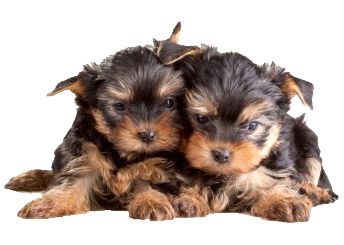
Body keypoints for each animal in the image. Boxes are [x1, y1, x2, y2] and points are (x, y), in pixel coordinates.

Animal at [5, 27, 187, 220]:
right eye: (119, 106)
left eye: (169, 102)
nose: (148, 135)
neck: (123, 153)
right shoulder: (86, 154)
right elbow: (73, 181)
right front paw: (48, 203)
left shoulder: (161, 167)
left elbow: (148, 180)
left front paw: (151, 201)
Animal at [153, 24, 336, 222]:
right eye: (201, 118)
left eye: (251, 126)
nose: (221, 155)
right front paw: (190, 197)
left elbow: (269, 179)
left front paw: (281, 199)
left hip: (307, 136)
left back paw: (315, 192)